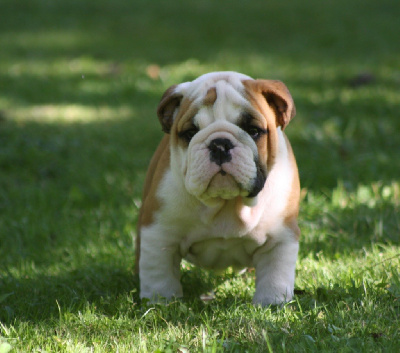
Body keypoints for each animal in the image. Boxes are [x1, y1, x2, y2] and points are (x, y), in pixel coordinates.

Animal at [137, 71, 300, 306]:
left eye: (253, 131)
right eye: (190, 133)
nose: (220, 144)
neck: (227, 204)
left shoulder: (280, 236)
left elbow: (275, 273)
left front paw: (272, 302)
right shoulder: (159, 232)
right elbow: (158, 272)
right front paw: (161, 301)